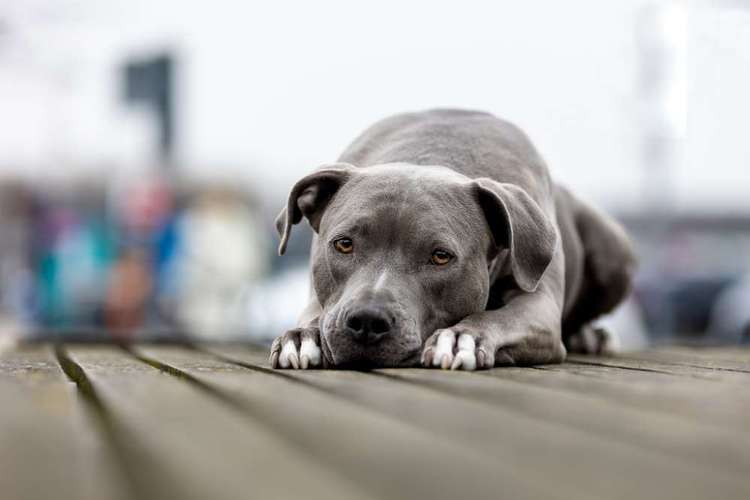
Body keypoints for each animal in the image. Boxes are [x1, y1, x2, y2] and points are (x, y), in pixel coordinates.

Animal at [270, 109, 636, 372]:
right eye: (344, 244)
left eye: (441, 256)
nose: (367, 320)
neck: (430, 156)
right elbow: (316, 313)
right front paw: (302, 337)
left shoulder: (540, 305)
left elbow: (502, 317)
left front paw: (462, 338)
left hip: (614, 251)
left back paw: (591, 335)